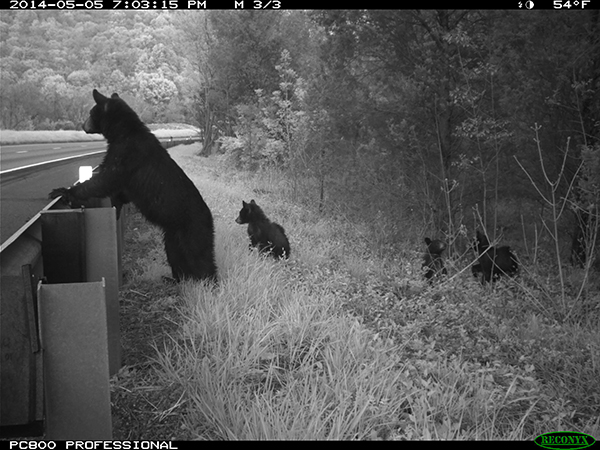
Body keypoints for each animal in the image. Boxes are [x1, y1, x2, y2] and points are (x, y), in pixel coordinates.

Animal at [49, 89, 216, 282]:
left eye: (91, 112)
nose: (83, 125)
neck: (124, 132)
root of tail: (209, 216)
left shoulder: (126, 154)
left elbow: (105, 179)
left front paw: (63, 191)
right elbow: (119, 191)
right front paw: (116, 207)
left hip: (193, 229)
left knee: (199, 256)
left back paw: (208, 282)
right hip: (173, 233)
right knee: (175, 253)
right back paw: (176, 279)